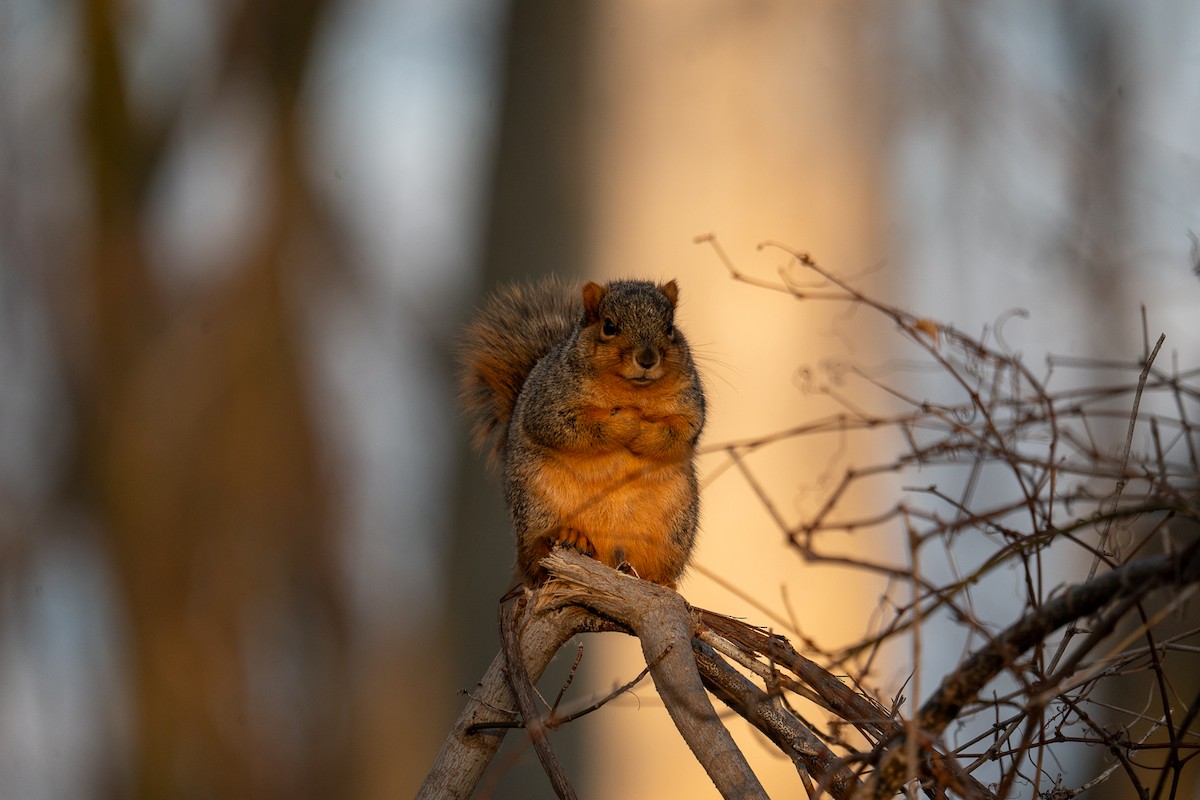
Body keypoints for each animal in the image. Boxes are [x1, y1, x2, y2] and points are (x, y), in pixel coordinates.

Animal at [459, 277, 706, 588]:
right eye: (609, 326)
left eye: (670, 327)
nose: (647, 359)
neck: (633, 390)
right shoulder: (549, 403)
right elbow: (572, 428)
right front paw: (628, 421)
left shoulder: (690, 404)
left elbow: (682, 431)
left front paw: (642, 431)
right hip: (537, 504)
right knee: (534, 557)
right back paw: (570, 536)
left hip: (673, 528)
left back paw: (660, 582)